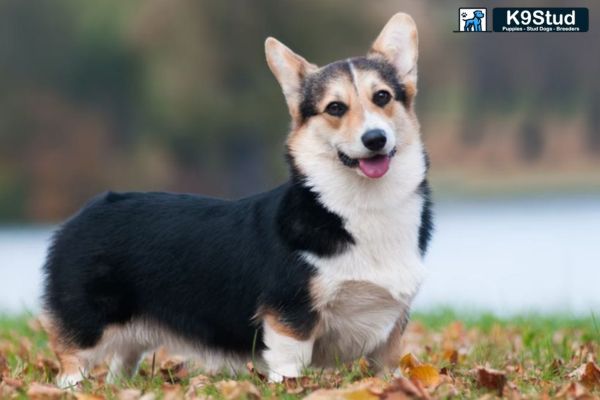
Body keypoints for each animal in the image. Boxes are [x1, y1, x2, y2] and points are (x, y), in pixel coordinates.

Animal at [42, 13, 434, 388]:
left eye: (382, 97)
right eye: (335, 108)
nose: (375, 139)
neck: (363, 207)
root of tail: (84, 212)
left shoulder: (390, 330)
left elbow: (386, 371)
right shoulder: (289, 315)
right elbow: (290, 365)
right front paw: (289, 387)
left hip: (131, 339)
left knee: (118, 368)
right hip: (87, 326)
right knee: (71, 365)